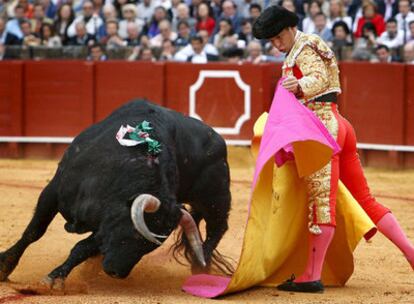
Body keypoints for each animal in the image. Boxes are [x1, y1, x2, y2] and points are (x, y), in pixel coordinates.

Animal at [0, 100, 233, 288]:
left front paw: (55, 278)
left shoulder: (105, 224)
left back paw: (201, 267)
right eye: (136, 235)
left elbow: (81, 248)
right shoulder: (54, 191)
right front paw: (4, 267)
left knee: (218, 227)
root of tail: (219, 141)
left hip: (216, 198)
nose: (116, 273)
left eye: (149, 247)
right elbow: (34, 232)